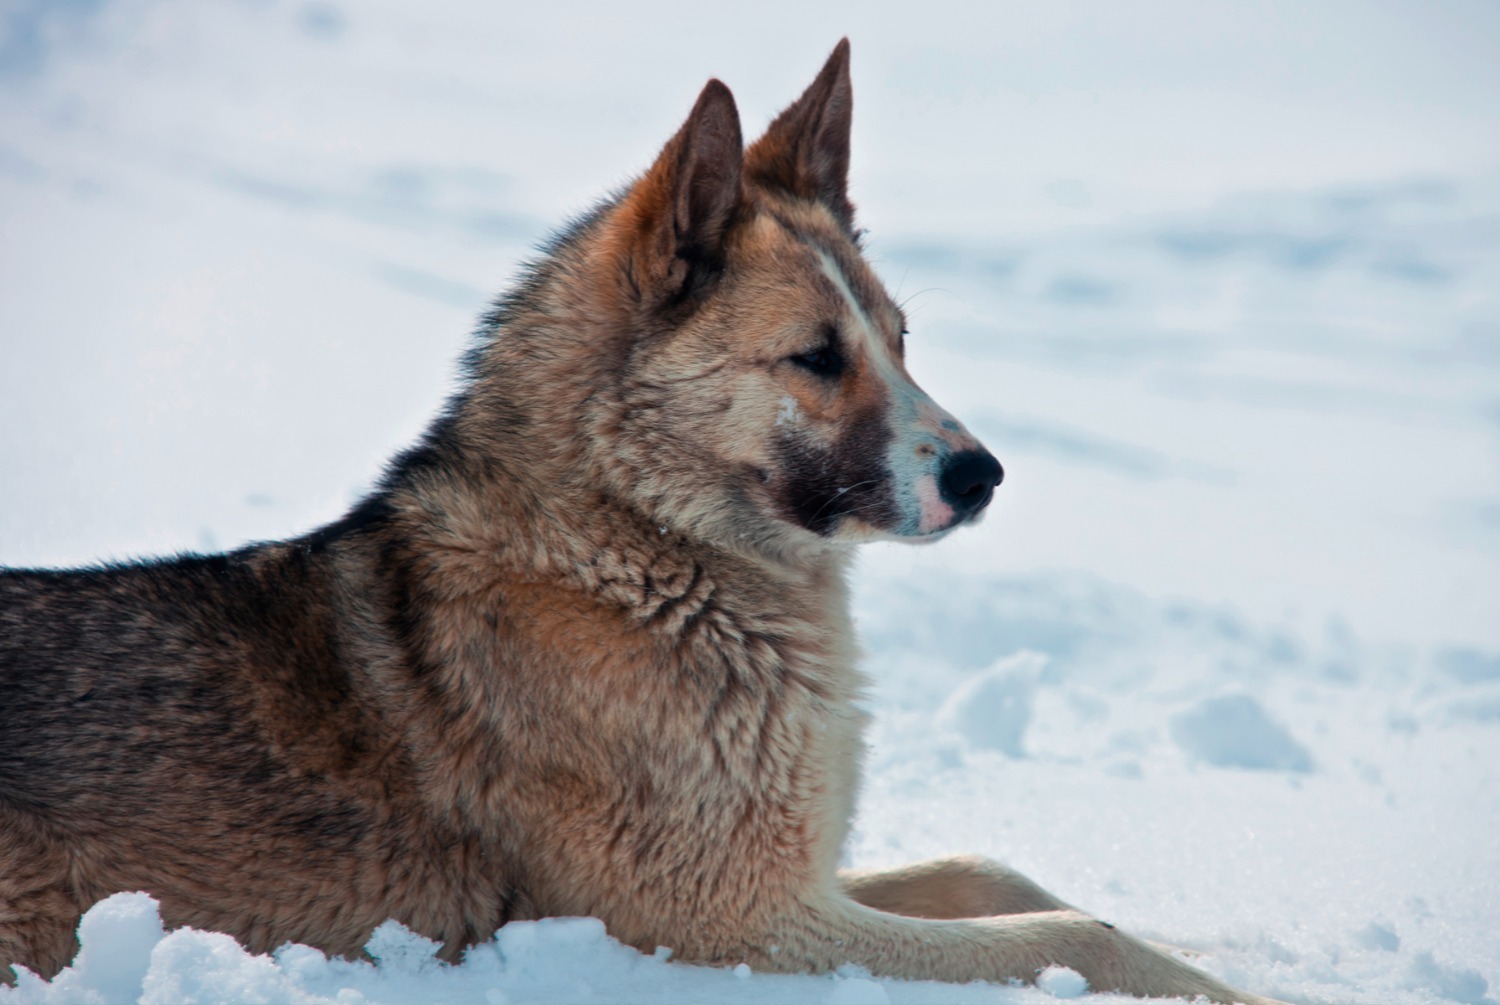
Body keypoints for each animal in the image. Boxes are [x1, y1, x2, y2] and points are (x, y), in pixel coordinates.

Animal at [5, 41, 1284, 1005]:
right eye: (817, 357)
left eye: (902, 339)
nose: (983, 476)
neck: (643, 551)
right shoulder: (735, 927)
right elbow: (1067, 933)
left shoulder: (803, 880)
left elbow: (1001, 875)